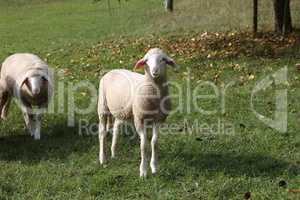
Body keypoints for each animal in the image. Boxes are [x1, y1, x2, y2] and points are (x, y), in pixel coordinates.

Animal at [98, 48, 178, 177]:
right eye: (146, 60)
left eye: (163, 59)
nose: (154, 71)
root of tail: (112, 70)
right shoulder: (139, 119)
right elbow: (144, 145)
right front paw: (143, 171)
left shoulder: (159, 120)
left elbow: (154, 142)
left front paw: (154, 167)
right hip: (102, 107)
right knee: (102, 133)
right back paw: (103, 158)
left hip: (122, 111)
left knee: (116, 128)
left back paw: (113, 152)